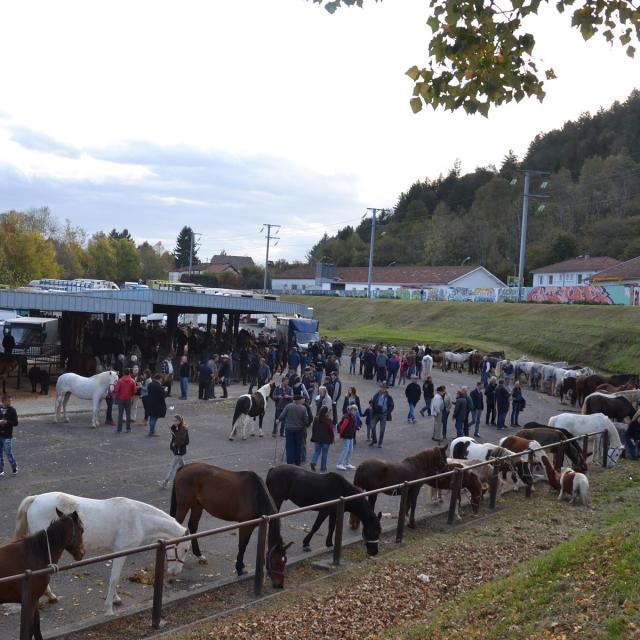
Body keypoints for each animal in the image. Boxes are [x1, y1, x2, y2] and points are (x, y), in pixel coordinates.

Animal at [1, 510, 85, 640]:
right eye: (81, 529)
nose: (82, 553)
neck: (36, 554)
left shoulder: (35, 601)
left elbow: (36, 629)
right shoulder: (29, 601)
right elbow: (27, 633)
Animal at [14, 490, 190, 616]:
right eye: (186, 549)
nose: (175, 572)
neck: (138, 518)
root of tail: (35, 499)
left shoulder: (115, 553)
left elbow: (113, 578)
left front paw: (116, 599)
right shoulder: (122, 551)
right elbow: (114, 579)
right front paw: (109, 609)